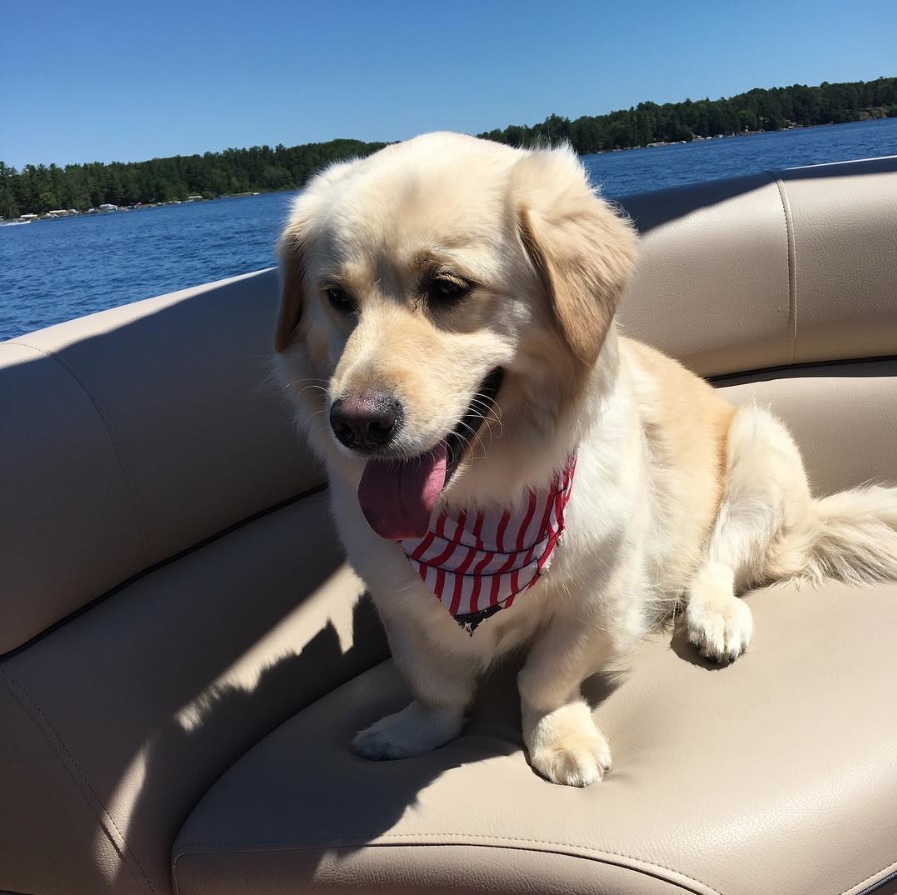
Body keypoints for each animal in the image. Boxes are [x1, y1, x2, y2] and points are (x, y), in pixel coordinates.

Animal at [272, 130, 896, 788]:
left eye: (447, 288)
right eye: (336, 298)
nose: (355, 423)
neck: (484, 504)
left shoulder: (601, 601)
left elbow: (545, 678)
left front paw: (559, 738)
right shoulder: (403, 611)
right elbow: (435, 687)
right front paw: (410, 732)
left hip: (761, 452)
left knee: (717, 563)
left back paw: (715, 617)